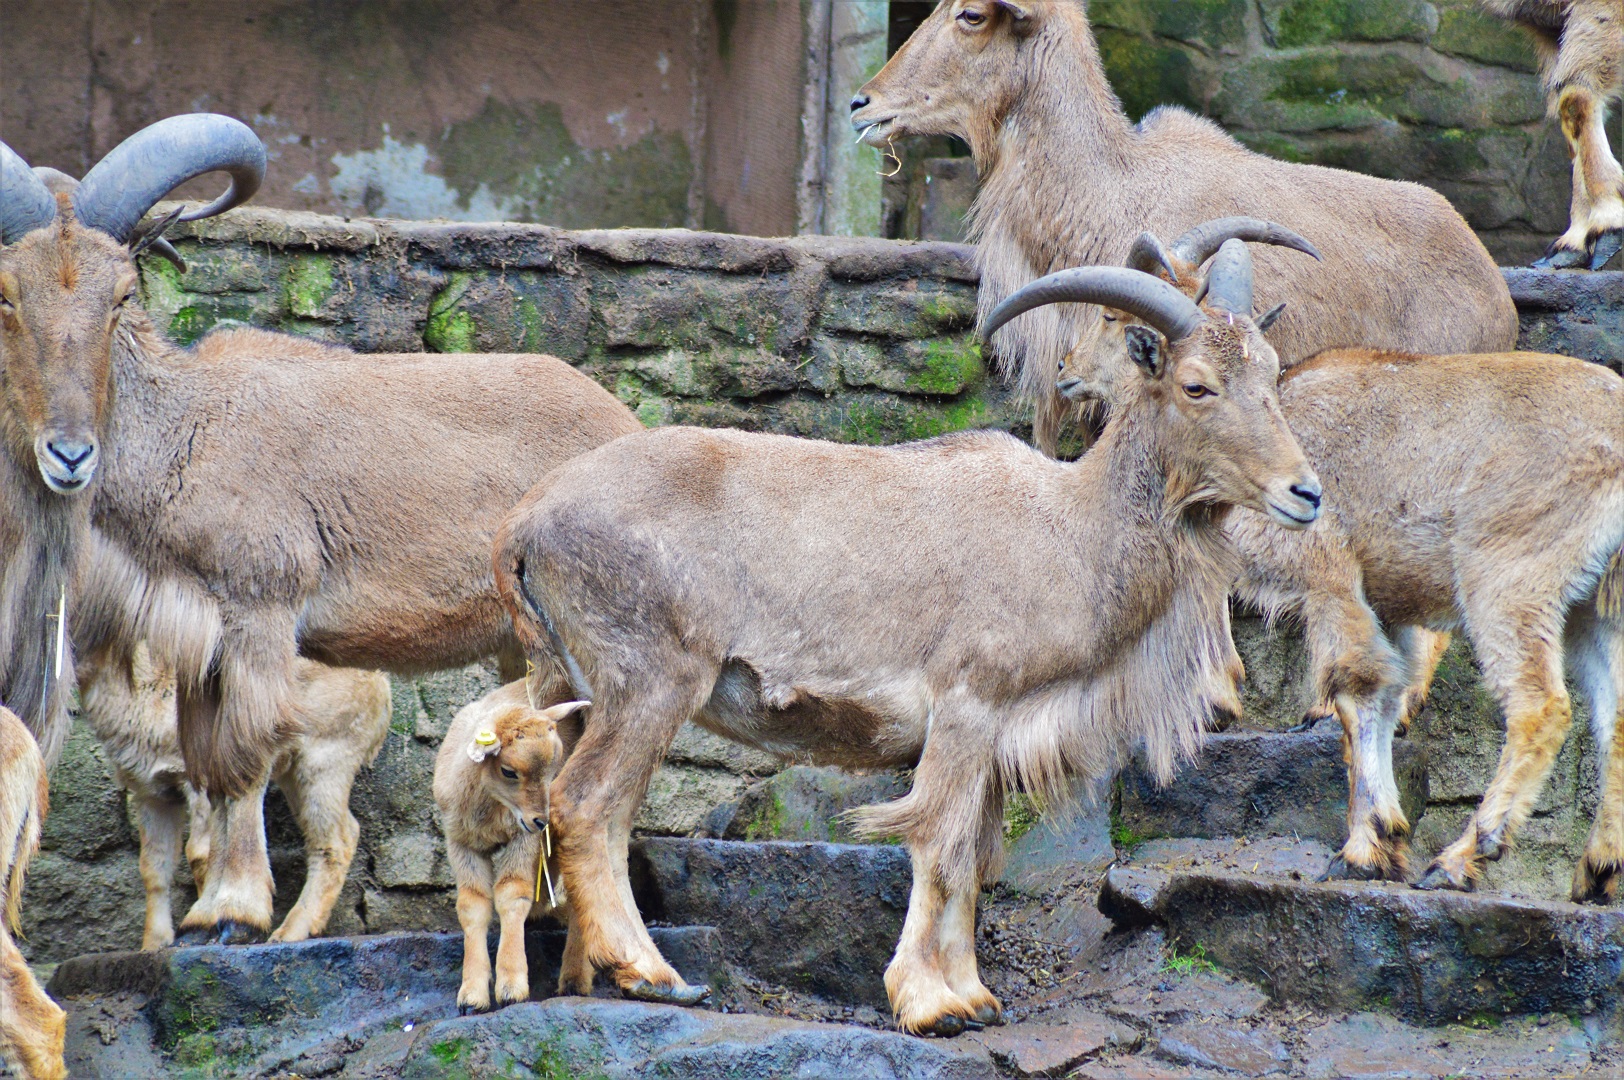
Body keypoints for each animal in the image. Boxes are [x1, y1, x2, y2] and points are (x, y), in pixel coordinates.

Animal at [75, 641, 390, 949]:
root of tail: (383, 688)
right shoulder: (152, 795)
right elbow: (154, 868)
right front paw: (152, 945)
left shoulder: (195, 782)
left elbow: (199, 852)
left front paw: (201, 927)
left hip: (324, 762)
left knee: (335, 841)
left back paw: (287, 932)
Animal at [434, 681, 586, 1013]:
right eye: (508, 771)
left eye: (554, 767)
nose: (541, 820)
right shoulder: (460, 842)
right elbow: (472, 905)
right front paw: (471, 995)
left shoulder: (522, 838)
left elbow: (511, 893)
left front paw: (511, 987)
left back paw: (575, 979)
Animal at [491, 240, 1321, 1036]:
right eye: (1196, 385)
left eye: (1273, 375)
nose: (1305, 493)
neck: (1072, 531)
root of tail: (524, 522)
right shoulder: (967, 705)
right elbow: (942, 848)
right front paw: (931, 1003)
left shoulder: (998, 739)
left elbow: (977, 859)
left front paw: (975, 994)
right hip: (650, 682)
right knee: (587, 806)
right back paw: (650, 974)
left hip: (574, 689)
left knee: (593, 813)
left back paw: (590, 973)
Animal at [1032, 228, 1624, 892]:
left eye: (1111, 318)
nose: (1065, 370)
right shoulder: (1385, 601)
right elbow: (1383, 697)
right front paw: (1385, 831)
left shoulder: (1331, 579)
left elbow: (1357, 689)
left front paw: (1366, 847)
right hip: (1599, 602)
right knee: (1615, 713)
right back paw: (1598, 869)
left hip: (1510, 579)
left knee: (1542, 705)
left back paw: (1462, 856)